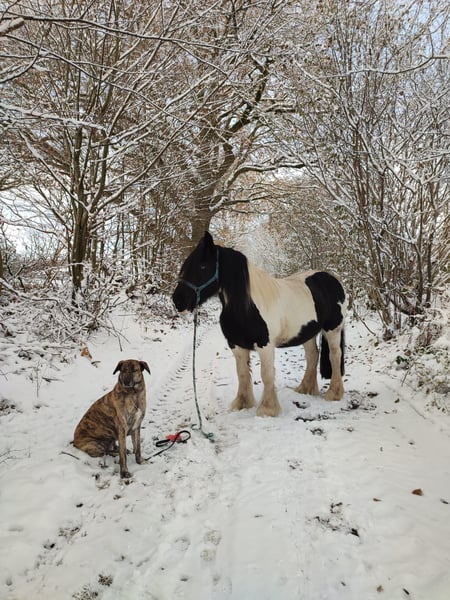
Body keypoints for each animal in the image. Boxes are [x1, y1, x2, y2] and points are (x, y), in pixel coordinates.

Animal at [172, 231, 346, 417]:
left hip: (333, 330)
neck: (246, 307)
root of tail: (333, 280)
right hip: (307, 332)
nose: (177, 300)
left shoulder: (265, 346)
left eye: (203, 266)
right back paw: (305, 389)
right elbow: (242, 373)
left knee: (335, 355)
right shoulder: (236, 345)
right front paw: (242, 404)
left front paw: (267, 409)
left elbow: (266, 374)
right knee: (313, 355)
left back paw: (334, 393)